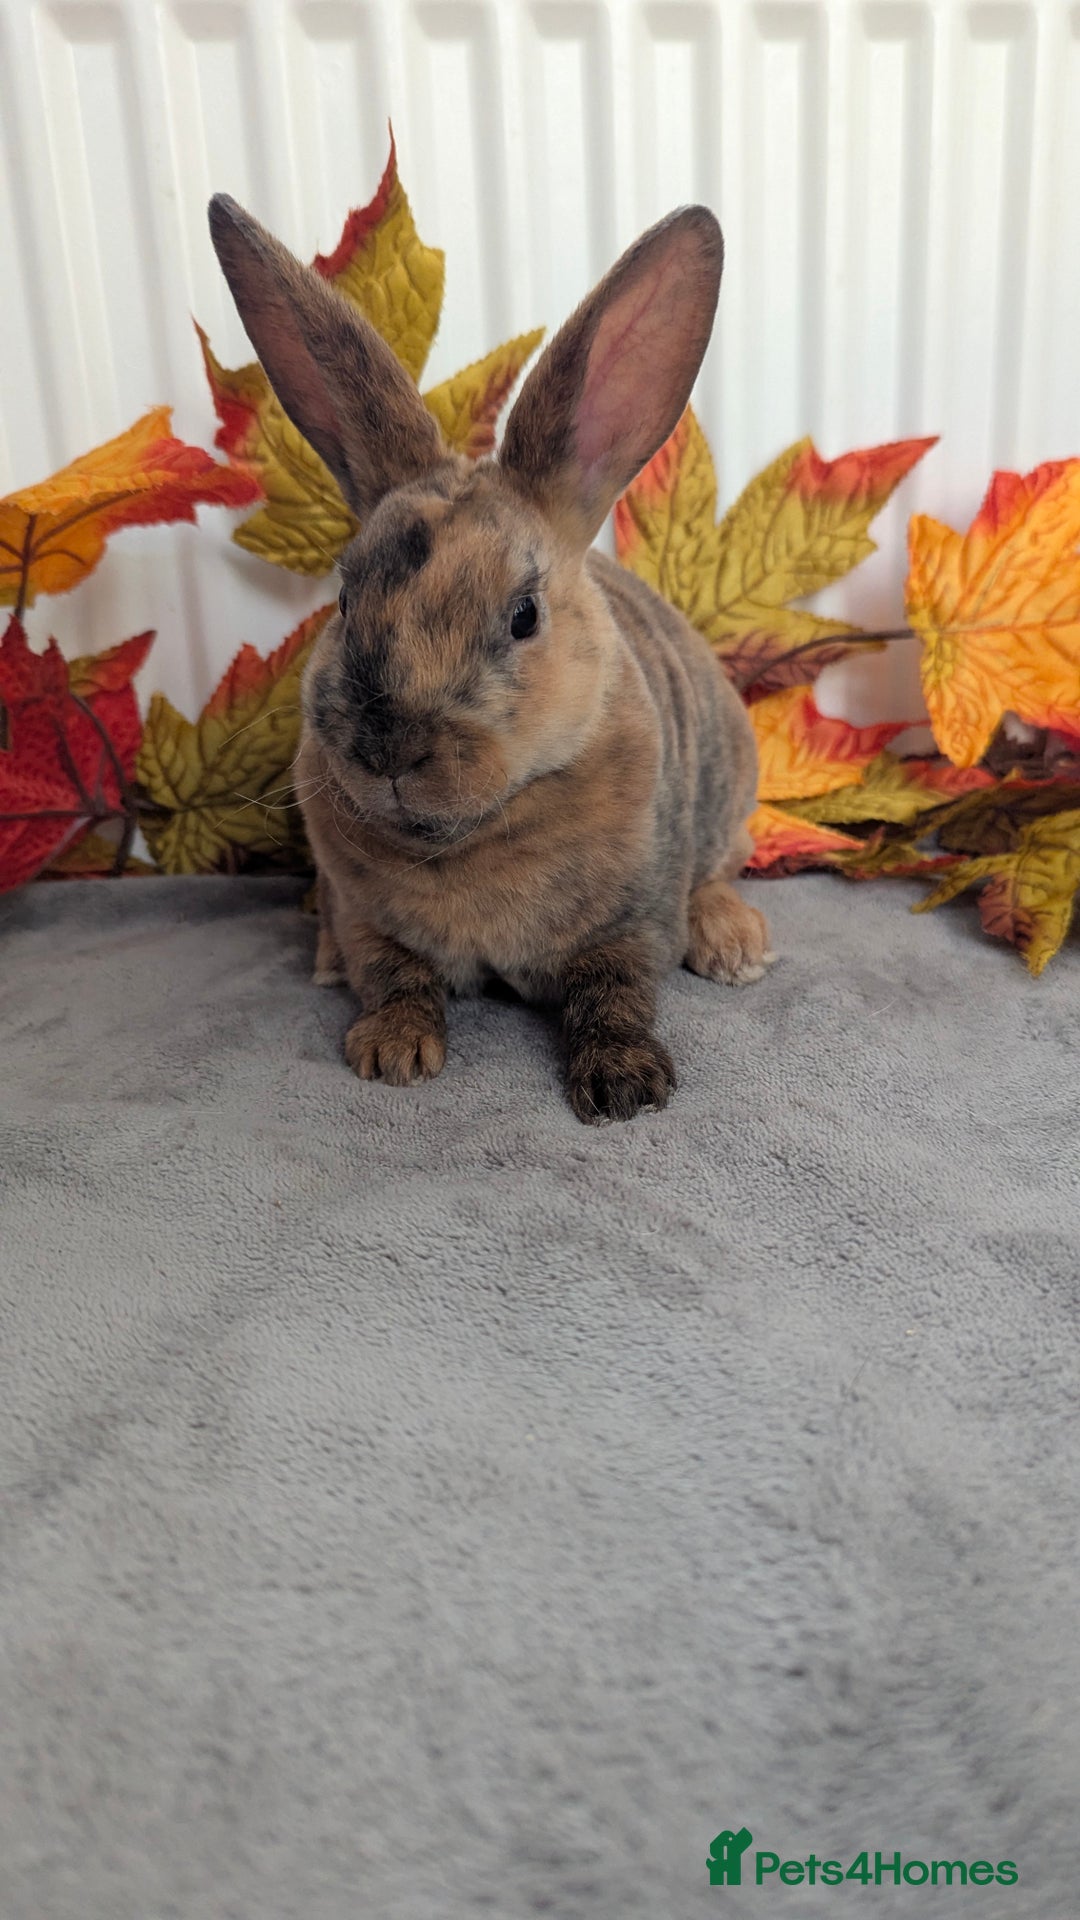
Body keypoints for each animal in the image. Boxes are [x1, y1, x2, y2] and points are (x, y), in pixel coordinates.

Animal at [208, 193, 775, 1124]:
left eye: (523, 616)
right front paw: (393, 1054)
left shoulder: (630, 922)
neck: (469, 835)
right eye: (344, 599)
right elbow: (392, 976)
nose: (388, 750)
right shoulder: (370, 921)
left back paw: (736, 945)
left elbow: (614, 993)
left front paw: (624, 1086)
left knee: (719, 874)